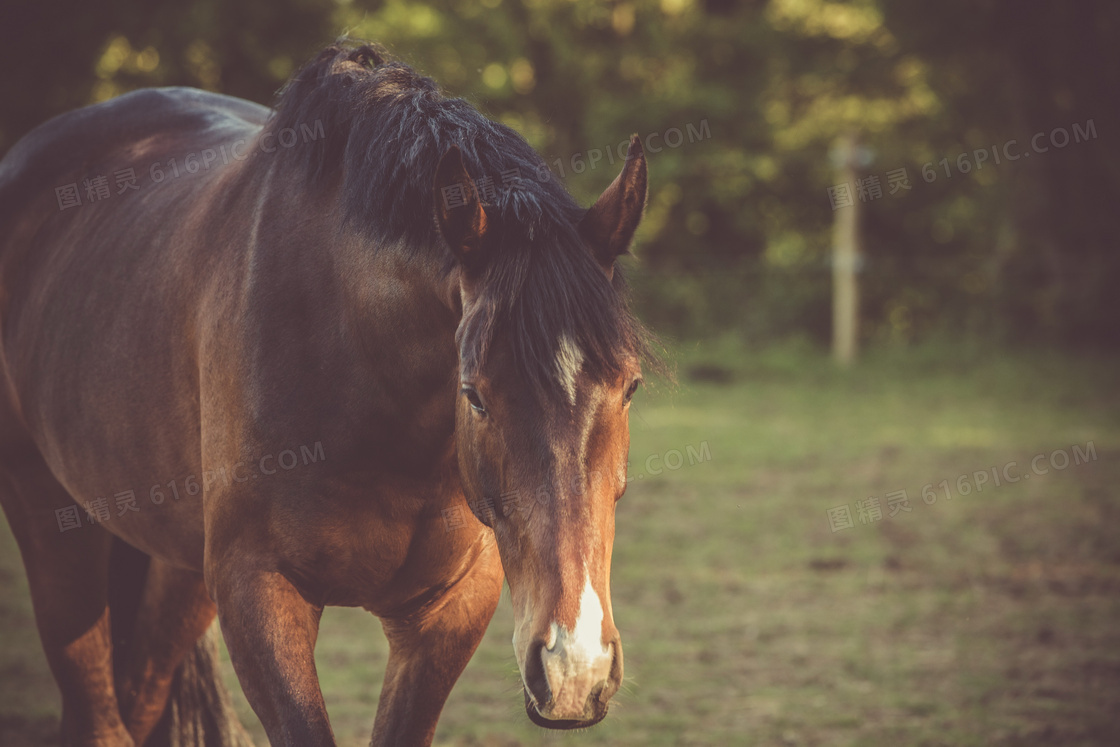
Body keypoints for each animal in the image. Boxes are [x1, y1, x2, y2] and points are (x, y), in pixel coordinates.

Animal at [0, 40, 654, 747]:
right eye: (474, 394)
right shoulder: (258, 595)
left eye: (630, 387)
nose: (573, 667)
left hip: (177, 572)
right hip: (52, 525)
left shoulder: (448, 611)